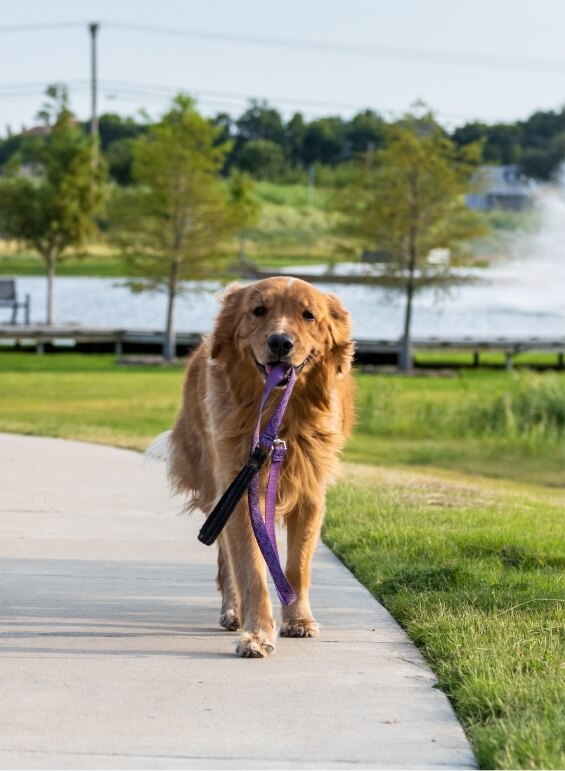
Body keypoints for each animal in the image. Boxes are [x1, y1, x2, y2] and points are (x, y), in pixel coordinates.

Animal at [165, 278, 354, 656]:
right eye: (258, 310)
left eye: (308, 314)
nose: (280, 342)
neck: (278, 418)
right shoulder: (239, 491)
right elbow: (251, 570)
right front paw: (258, 634)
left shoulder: (311, 495)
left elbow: (297, 566)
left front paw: (298, 619)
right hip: (216, 484)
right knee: (225, 558)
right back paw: (232, 611)